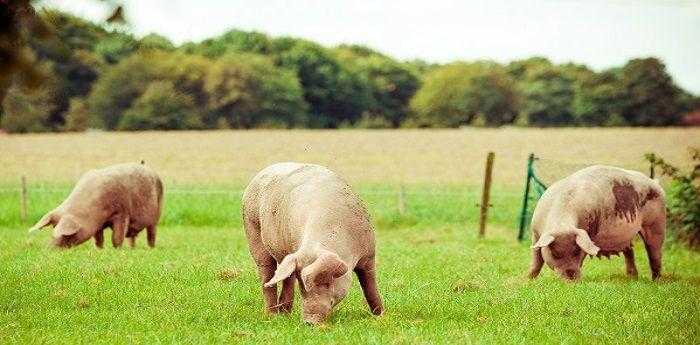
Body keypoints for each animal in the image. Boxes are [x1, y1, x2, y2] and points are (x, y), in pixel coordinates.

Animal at [28, 161, 163, 247]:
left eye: (67, 235)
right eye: (53, 229)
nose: (50, 249)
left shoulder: (122, 213)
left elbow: (117, 237)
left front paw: (117, 250)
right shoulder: (97, 223)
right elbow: (98, 239)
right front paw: (99, 249)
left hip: (157, 211)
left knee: (151, 233)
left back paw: (151, 248)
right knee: (132, 237)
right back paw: (132, 248)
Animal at [241, 163, 382, 324]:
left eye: (327, 282)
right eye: (302, 287)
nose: (309, 322)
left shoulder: (369, 254)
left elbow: (370, 286)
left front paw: (381, 315)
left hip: (288, 256)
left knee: (287, 277)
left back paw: (285, 313)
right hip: (252, 229)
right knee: (266, 274)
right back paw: (272, 316)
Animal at [528, 164, 664, 280]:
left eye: (577, 251)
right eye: (555, 253)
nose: (571, 278)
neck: (562, 223)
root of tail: (655, 183)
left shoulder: (587, 233)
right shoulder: (535, 234)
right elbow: (536, 260)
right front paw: (528, 280)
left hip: (656, 223)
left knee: (654, 252)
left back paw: (656, 281)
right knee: (629, 251)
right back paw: (632, 278)